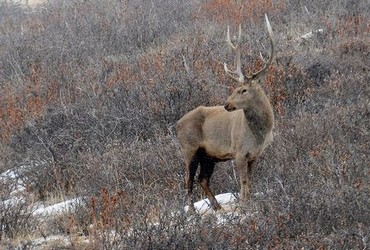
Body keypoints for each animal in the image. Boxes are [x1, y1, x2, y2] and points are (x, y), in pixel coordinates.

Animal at [176, 14, 274, 212]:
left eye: (243, 90)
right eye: (235, 88)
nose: (227, 104)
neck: (259, 134)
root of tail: (176, 124)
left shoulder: (255, 155)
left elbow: (250, 182)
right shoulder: (239, 152)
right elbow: (243, 183)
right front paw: (244, 206)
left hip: (208, 156)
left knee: (202, 179)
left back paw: (217, 208)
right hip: (189, 149)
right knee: (188, 181)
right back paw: (192, 213)